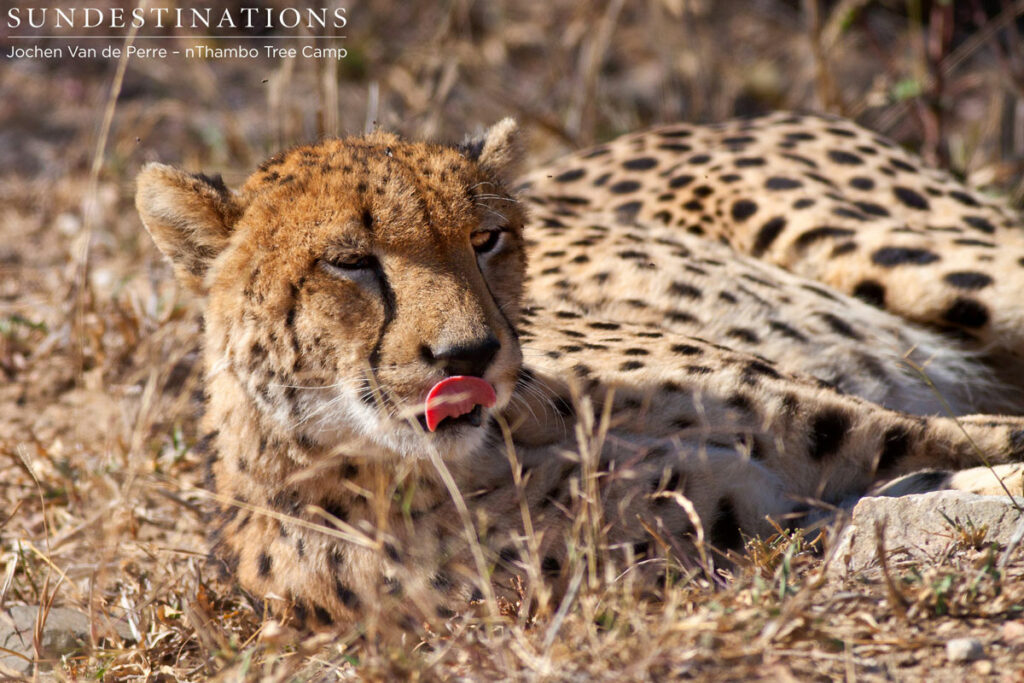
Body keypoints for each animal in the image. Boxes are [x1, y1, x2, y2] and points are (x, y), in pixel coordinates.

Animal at [135, 112, 1024, 635]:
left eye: (486, 238)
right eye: (350, 262)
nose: (468, 355)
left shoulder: (863, 439)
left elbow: (982, 448)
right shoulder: (754, 534)